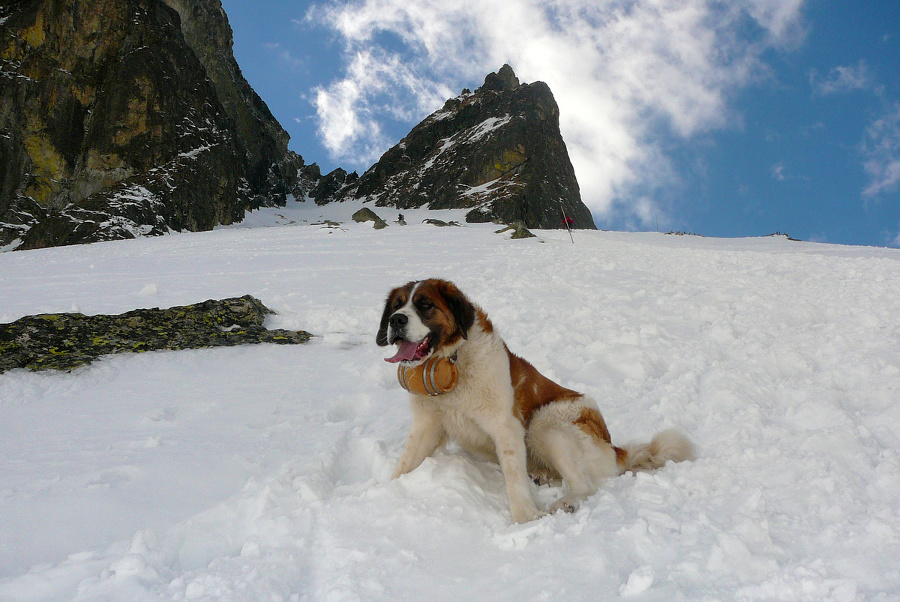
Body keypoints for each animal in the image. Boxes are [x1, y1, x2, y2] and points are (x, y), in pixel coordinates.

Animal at [376, 278, 692, 520]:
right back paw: (542, 476)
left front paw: (524, 520)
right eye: (397, 305)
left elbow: (514, 479)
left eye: (425, 305)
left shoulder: (507, 427)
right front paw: (383, 491)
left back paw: (566, 501)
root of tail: (615, 449)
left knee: (585, 484)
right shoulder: (426, 425)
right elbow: (405, 462)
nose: (396, 320)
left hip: (545, 423)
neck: (452, 362)